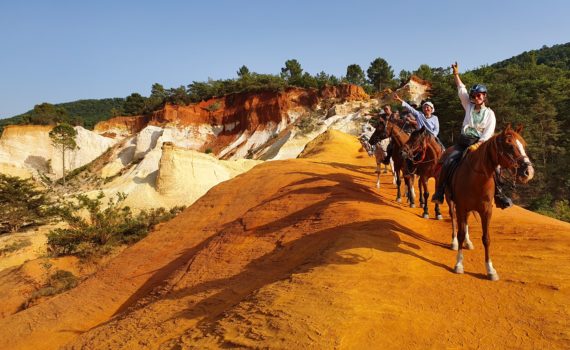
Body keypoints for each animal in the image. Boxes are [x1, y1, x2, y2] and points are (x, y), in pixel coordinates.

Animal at [446, 126, 536, 282]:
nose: (528, 172)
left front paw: (490, 270)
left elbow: (486, 238)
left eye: (523, 146)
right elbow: (460, 233)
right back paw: (454, 242)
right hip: (451, 200)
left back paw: (468, 242)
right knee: (453, 219)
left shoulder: (486, 211)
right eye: (509, 146)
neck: (476, 178)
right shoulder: (461, 207)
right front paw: (458, 264)